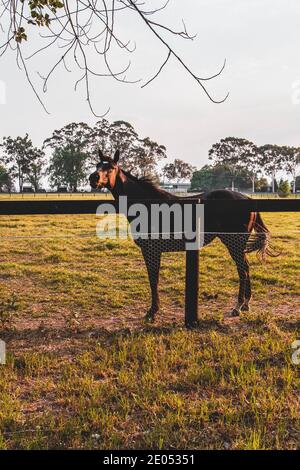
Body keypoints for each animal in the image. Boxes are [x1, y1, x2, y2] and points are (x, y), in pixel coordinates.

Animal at [89, 151, 274, 324]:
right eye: (98, 165)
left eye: (111, 167)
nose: (93, 178)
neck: (149, 205)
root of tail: (247, 199)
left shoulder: (151, 250)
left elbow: (153, 278)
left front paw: (152, 312)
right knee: (246, 267)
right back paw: (246, 304)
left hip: (234, 243)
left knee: (242, 269)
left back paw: (238, 306)